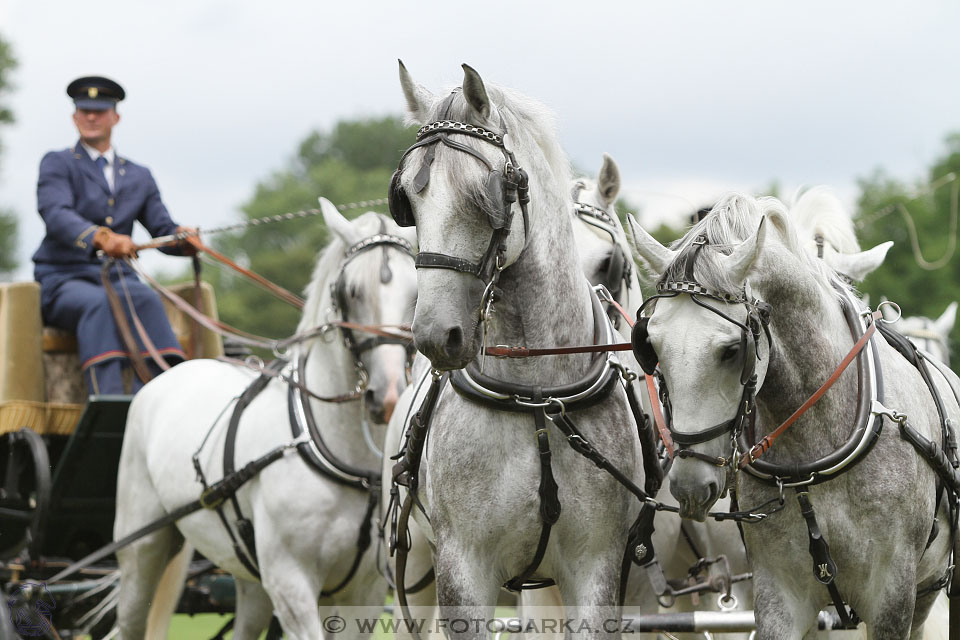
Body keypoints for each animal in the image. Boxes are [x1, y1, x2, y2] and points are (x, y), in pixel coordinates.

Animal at [112, 201, 416, 640]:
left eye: (416, 291)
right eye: (352, 291)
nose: (389, 393)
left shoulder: (364, 590)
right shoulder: (291, 585)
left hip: (248, 576)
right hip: (142, 551)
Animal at [382, 65, 644, 640]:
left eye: (487, 195)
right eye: (407, 201)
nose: (435, 336)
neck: (537, 396)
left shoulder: (598, 567)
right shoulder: (462, 569)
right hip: (414, 568)